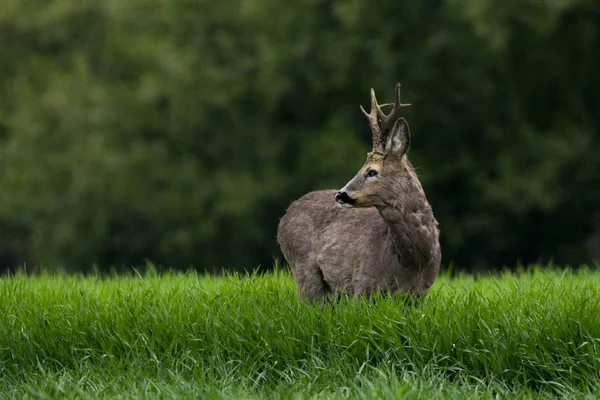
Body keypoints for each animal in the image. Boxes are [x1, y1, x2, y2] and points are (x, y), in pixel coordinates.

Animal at [278, 83, 440, 300]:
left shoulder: (420, 295)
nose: (341, 194)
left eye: (372, 171)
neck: (414, 262)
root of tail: (285, 216)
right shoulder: (362, 285)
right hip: (303, 268)